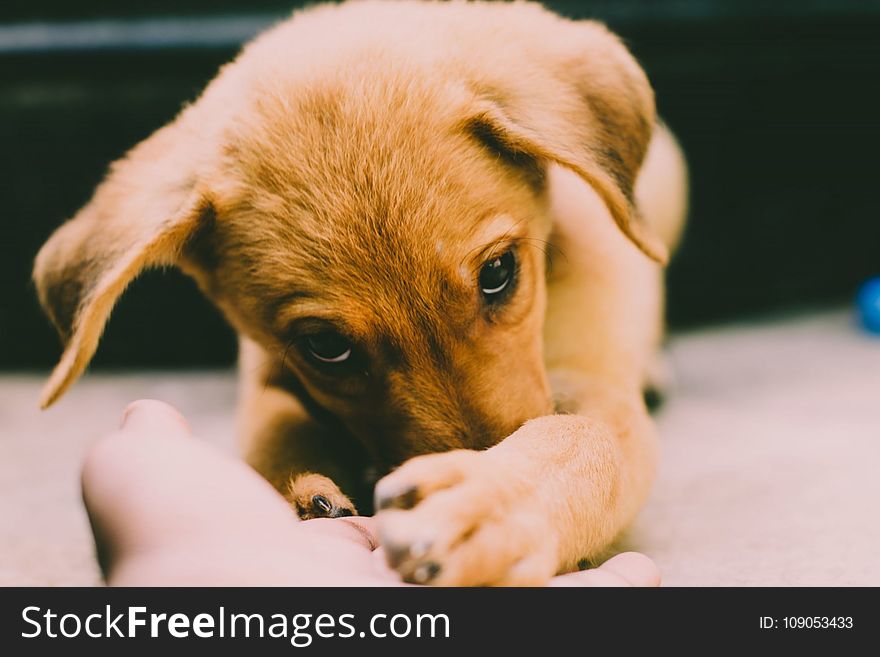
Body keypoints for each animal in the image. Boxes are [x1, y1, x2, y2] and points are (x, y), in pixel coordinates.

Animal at [32, 0, 688, 584]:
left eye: (499, 272)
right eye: (325, 346)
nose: (477, 457)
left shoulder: (594, 378)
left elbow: (579, 436)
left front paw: (488, 505)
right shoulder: (270, 380)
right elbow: (276, 439)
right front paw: (309, 499)